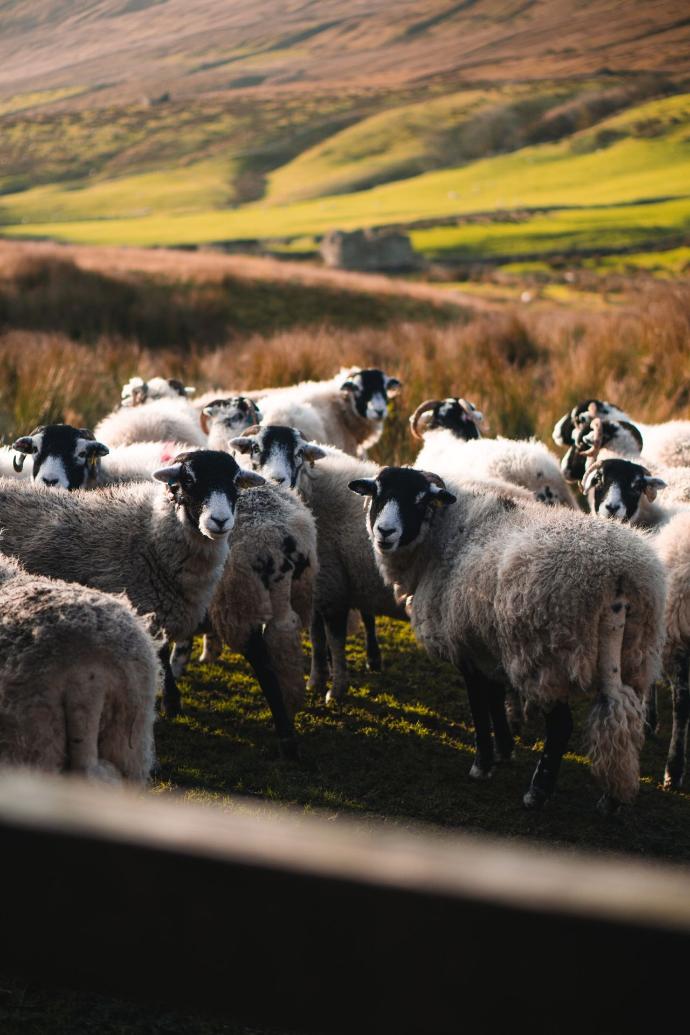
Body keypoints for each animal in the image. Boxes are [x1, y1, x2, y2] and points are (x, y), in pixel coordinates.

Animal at [347, 465, 666, 811]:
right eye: (377, 492)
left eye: (420, 500)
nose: (385, 531)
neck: (445, 535)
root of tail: (618, 570)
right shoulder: (486, 643)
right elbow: (495, 697)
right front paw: (504, 749)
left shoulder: (465, 646)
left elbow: (478, 704)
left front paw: (482, 764)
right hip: (635, 652)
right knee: (621, 713)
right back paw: (612, 798)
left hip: (550, 655)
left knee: (561, 726)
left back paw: (537, 792)